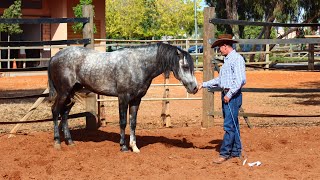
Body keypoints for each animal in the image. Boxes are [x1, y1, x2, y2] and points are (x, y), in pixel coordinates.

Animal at [47, 43, 198, 152]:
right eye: (185, 66)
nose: (195, 88)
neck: (137, 65)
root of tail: (54, 57)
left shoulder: (136, 100)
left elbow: (133, 123)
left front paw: (134, 147)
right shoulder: (123, 98)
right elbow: (123, 122)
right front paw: (124, 146)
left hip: (71, 93)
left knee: (64, 113)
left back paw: (70, 141)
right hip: (63, 92)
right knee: (55, 111)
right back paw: (57, 142)